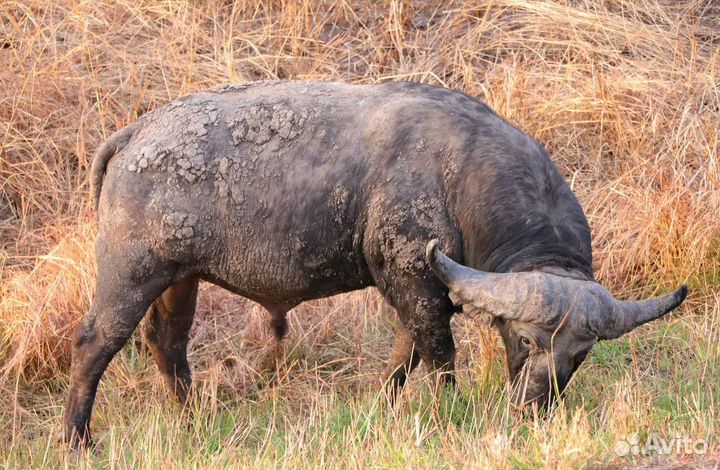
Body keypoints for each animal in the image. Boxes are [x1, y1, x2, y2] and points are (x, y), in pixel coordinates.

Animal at [66, 81, 688, 448]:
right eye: (529, 340)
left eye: (579, 355)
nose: (537, 404)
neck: (461, 173)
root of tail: (137, 132)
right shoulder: (415, 277)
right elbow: (438, 355)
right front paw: (449, 411)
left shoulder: (419, 286)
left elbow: (404, 355)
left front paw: (385, 406)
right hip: (131, 272)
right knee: (94, 342)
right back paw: (78, 439)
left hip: (180, 278)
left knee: (166, 343)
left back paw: (193, 422)